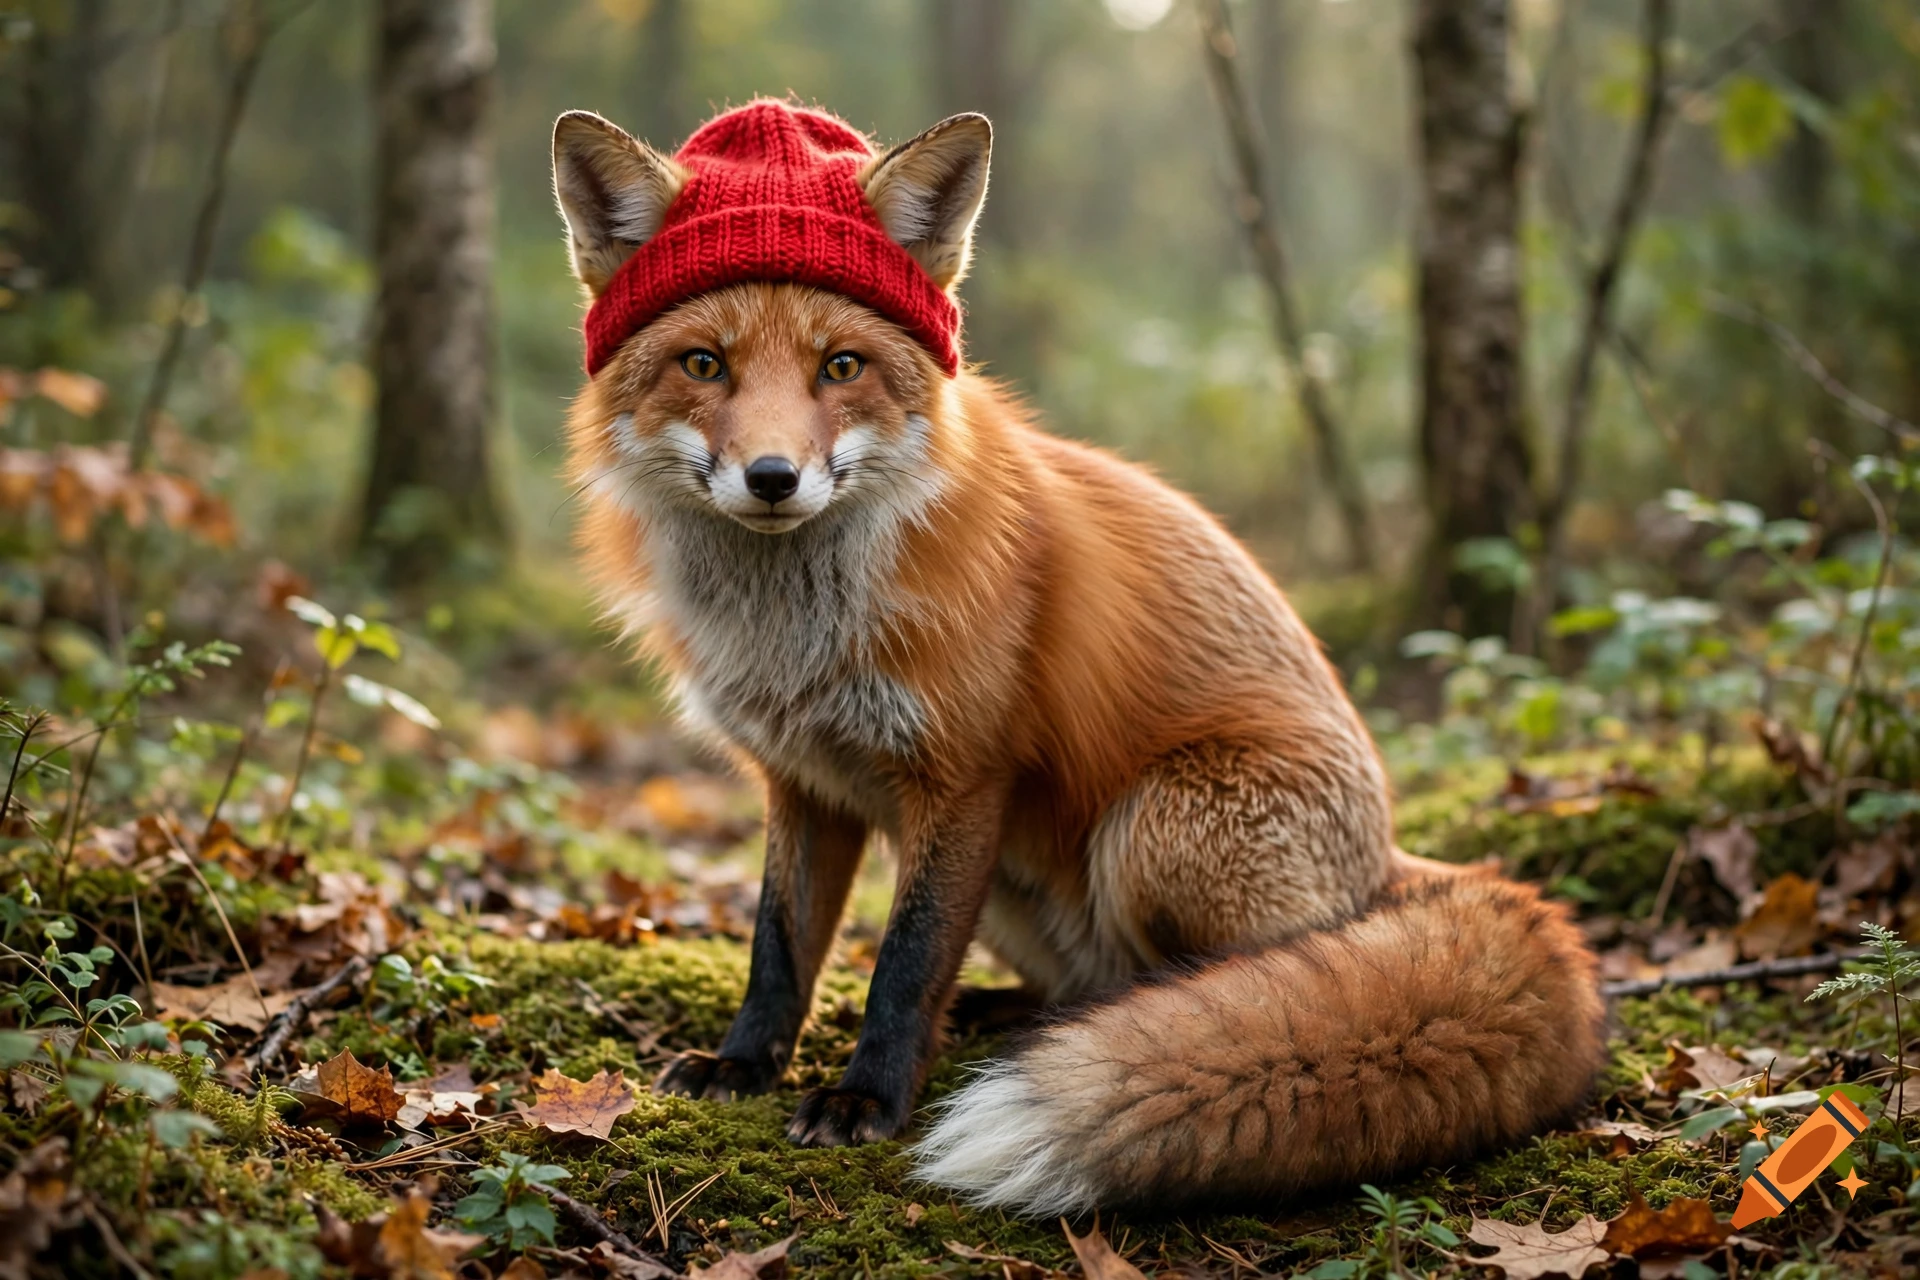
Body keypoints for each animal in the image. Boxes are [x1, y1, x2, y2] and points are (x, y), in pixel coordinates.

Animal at [550, 98, 1607, 1215]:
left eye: (841, 366)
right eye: (704, 364)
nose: (771, 477)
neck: (797, 631)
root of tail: (1394, 859)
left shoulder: (963, 773)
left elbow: (905, 959)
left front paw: (868, 1097)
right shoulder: (804, 783)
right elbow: (779, 947)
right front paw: (745, 1065)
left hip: (1158, 829)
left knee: (1241, 978)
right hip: (1029, 888)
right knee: (1080, 981)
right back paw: (1012, 1018)